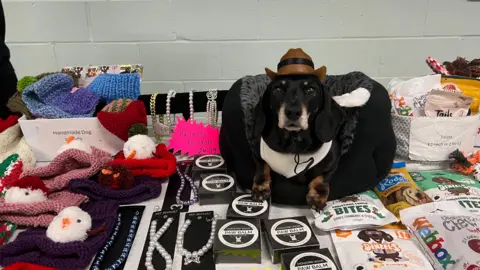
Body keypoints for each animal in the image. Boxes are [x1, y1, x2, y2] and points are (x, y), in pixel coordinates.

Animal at [251, 49, 344, 211]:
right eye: (278, 89)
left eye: (311, 90)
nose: (293, 112)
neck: (294, 139)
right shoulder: (257, 149)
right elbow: (262, 166)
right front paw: (261, 186)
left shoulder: (334, 158)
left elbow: (322, 176)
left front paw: (317, 195)